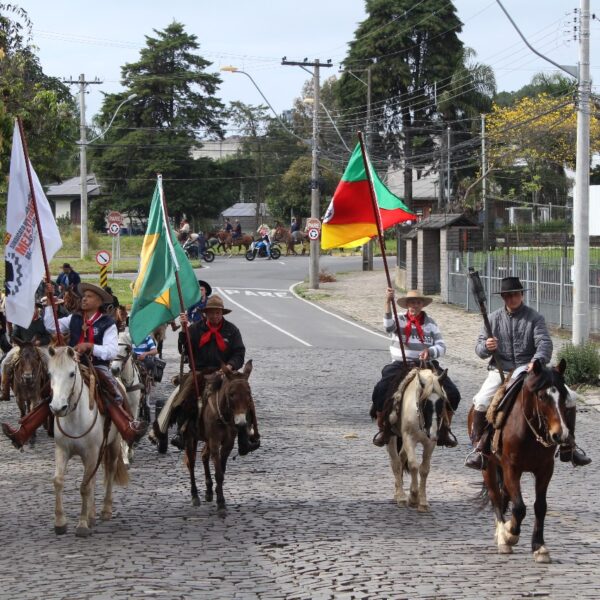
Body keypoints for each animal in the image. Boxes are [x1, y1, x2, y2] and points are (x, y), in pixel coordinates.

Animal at [48, 344, 129, 536]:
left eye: (71, 373)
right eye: (50, 374)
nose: (57, 408)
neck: (75, 417)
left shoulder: (91, 452)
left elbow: (84, 486)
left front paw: (82, 525)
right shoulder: (62, 450)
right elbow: (59, 481)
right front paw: (60, 522)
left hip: (113, 445)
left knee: (110, 471)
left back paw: (105, 510)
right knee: (92, 477)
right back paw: (92, 514)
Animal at [109, 332, 145, 464]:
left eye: (126, 349)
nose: (114, 370)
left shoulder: (134, 407)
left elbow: (132, 424)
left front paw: (129, 452)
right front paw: (124, 455)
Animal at [386, 368, 448, 512]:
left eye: (442, 403)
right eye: (425, 403)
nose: (433, 433)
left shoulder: (430, 443)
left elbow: (424, 469)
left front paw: (422, 501)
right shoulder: (409, 439)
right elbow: (413, 465)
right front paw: (413, 497)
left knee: (401, 458)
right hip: (391, 436)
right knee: (396, 463)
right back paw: (400, 496)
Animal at [468, 360, 572, 564]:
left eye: (563, 395)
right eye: (542, 396)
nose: (560, 435)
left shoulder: (545, 469)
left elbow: (540, 507)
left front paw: (539, 547)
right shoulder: (511, 468)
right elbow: (519, 507)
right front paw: (510, 534)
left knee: (504, 496)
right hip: (489, 467)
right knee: (496, 497)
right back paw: (502, 536)